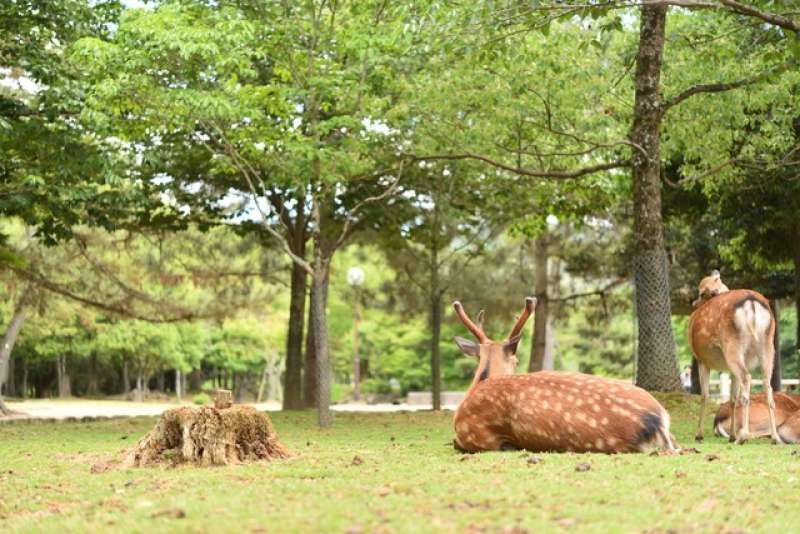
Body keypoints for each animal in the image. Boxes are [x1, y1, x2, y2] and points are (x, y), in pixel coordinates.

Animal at [688, 270, 780, 446]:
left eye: (701, 292)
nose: (694, 304)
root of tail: (752, 303)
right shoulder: (728, 369)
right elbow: (732, 398)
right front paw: (731, 436)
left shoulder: (702, 360)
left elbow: (705, 395)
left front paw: (699, 435)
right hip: (768, 345)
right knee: (767, 385)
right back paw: (775, 437)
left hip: (732, 346)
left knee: (747, 378)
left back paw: (743, 437)